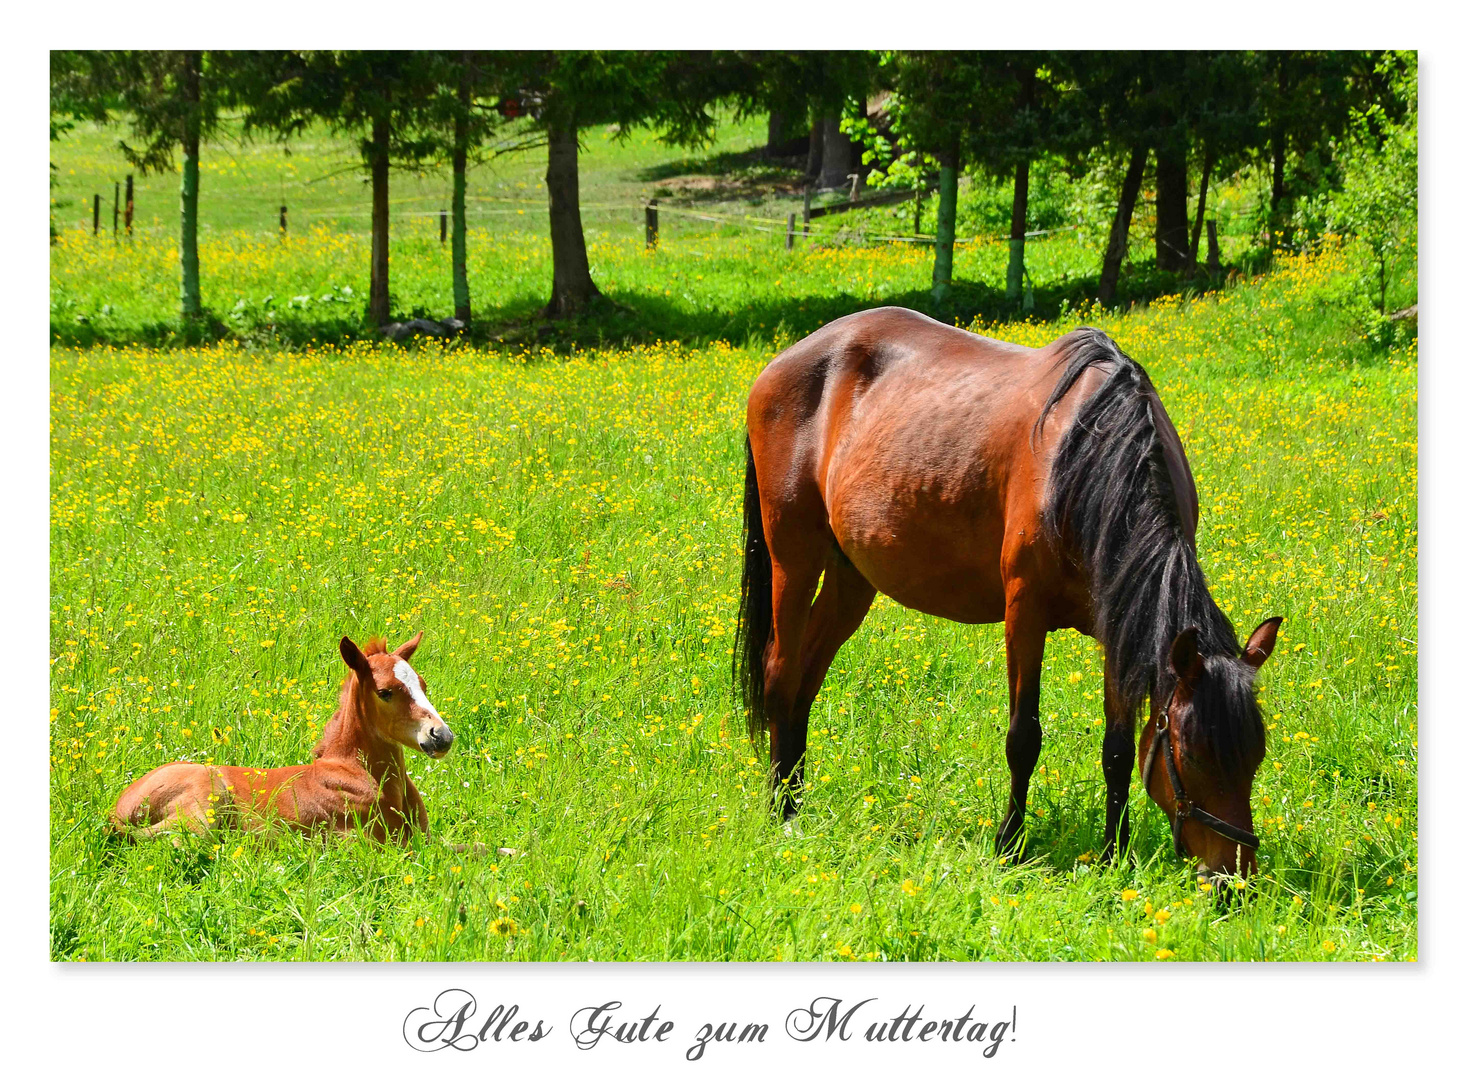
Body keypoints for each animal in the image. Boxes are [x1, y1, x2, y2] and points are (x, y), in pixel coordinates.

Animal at [111, 634, 452, 846]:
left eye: (422, 684)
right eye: (384, 692)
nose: (442, 736)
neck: (356, 773)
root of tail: (120, 807)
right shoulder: (365, 843)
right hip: (204, 806)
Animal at [740, 308, 1280, 881]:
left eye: (1256, 754)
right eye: (1193, 753)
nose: (1234, 877)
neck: (1089, 462)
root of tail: (786, 361)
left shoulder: (1118, 623)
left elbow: (1116, 749)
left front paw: (1113, 854)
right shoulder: (1024, 611)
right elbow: (1024, 737)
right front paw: (1010, 845)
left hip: (851, 579)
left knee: (807, 679)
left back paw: (797, 797)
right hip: (794, 559)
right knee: (780, 672)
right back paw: (782, 810)